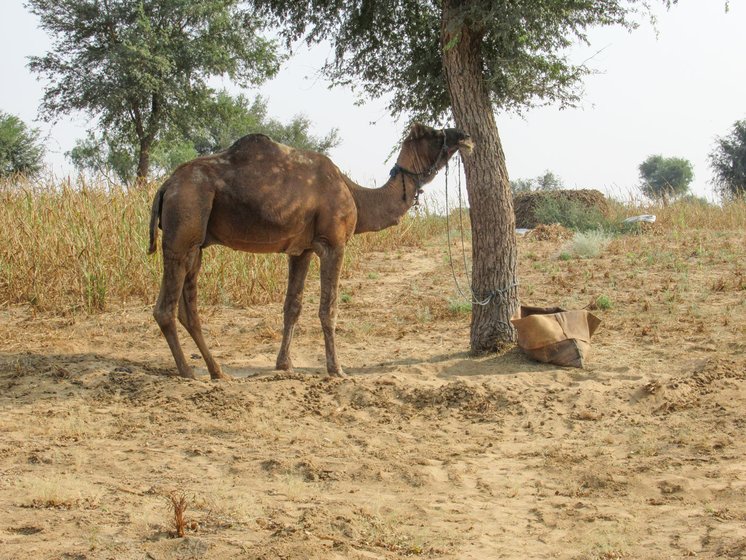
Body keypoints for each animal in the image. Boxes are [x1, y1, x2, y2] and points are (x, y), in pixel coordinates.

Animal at [147, 123, 470, 380]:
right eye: (434, 133)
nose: (464, 135)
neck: (357, 196)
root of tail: (166, 185)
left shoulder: (299, 250)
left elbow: (292, 307)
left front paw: (284, 365)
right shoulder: (333, 243)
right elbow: (329, 309)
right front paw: (337, 369)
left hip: (193, 242)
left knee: (186, 308)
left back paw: (216, 371)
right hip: (185, 219)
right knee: (165, 308)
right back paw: (188, 372)